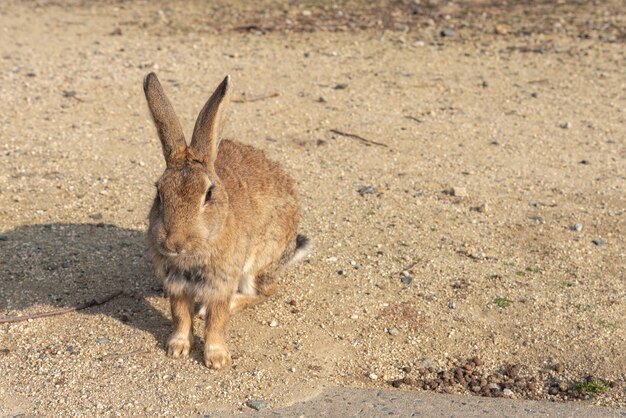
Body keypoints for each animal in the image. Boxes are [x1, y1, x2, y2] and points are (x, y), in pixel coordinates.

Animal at [141, 72, 308, 370]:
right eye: (159, 191)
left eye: (208, 194)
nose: (173, 243)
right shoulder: (176, 284)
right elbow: (180, 316)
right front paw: (177, 348)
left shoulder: (221, 281)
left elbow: (216, 322)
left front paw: (217, 359)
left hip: (258, 263)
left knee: (265, 291)